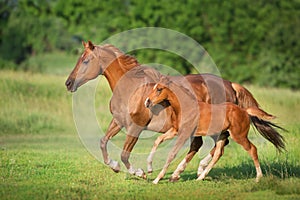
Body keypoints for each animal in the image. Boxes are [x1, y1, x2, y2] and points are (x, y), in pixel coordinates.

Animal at [145, 76, 286, 184]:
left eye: (159, 89)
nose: (147, 102)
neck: (186, 107)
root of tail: (244, 111)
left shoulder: (184, 134)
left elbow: (171, 154)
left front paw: (157, 179)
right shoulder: (175, 130)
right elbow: (158, 140)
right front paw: (150, 169)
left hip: (239, 136)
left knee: (252, 149)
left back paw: (258, 177)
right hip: (222, 135)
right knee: (218, 153)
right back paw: (201, 176)